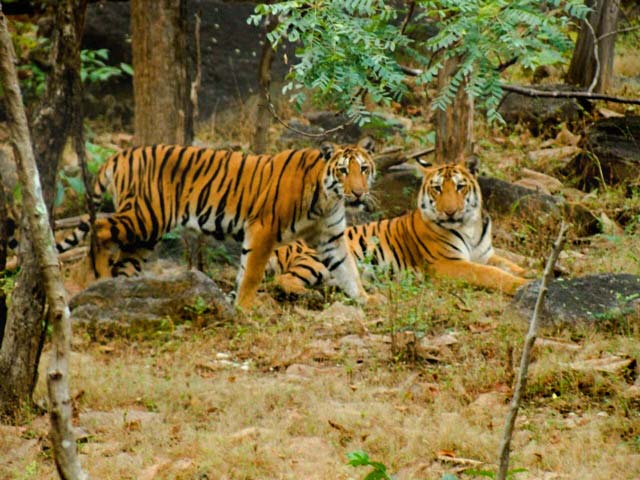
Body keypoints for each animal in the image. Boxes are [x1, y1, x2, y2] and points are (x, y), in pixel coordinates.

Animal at [56, 138, 377, 308]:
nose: (359, 193)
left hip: (145, 234)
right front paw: (245, 309)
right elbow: (251, 274)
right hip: (145, 217)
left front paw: (366, 299)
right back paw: (99, 276)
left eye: (363, 168)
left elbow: (348, 270)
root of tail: (122, 153)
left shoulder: (331, 238)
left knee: (122, 261)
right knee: (99, 228)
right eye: (343, 171)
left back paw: (121, 292)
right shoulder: (263, 229)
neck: (328, 198)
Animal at [269, 157, 529, 295]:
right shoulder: (447, 263)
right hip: (319, 258)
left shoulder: (485, 255)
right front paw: (521, 285)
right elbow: (490, 273)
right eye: (437, 188)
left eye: (460, 186)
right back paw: (309, 294)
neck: (469, 226)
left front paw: (530, 273)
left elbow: (509, 265)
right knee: (283, 280)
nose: (450, 211)